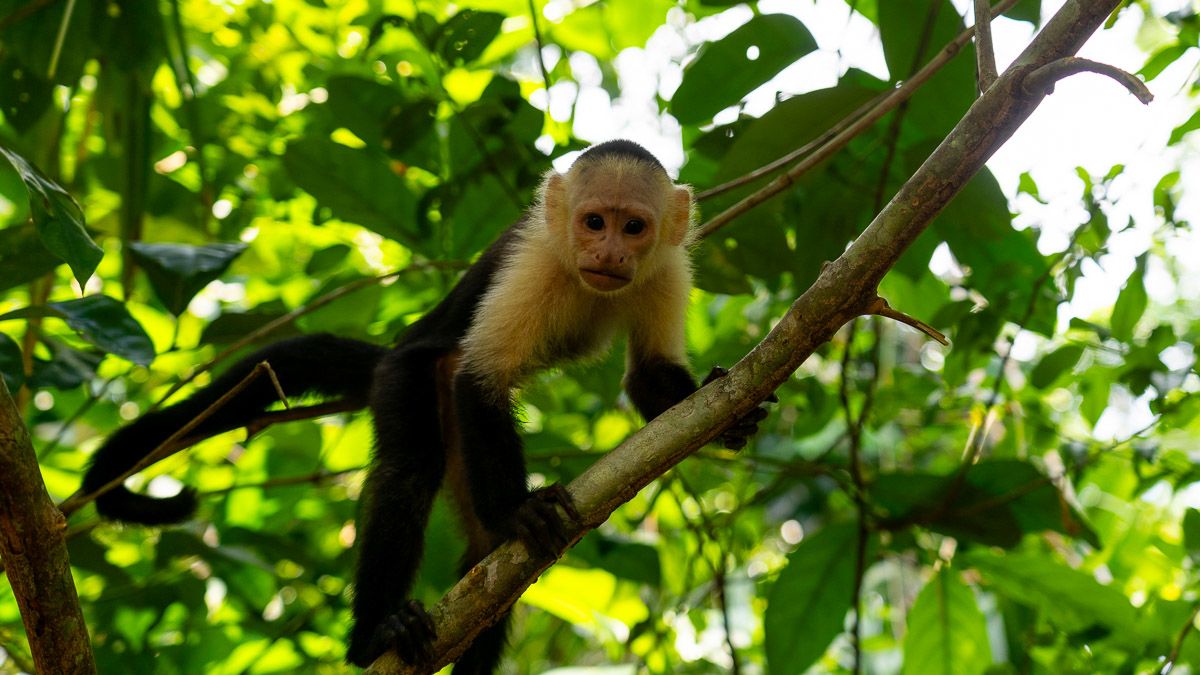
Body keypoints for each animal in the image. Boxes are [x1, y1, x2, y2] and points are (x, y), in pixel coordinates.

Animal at [82, 140, 770, 673]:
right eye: (594, 222)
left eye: (634, 228)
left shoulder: (668, 268)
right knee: (412, 464)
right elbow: (480, 376)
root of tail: (395, 348)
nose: (609, 254)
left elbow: (649, 377)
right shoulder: (534, 260)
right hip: (408, 379)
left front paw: (731, 412)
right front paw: (520, 511)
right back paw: (375, 635)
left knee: (486, 564)